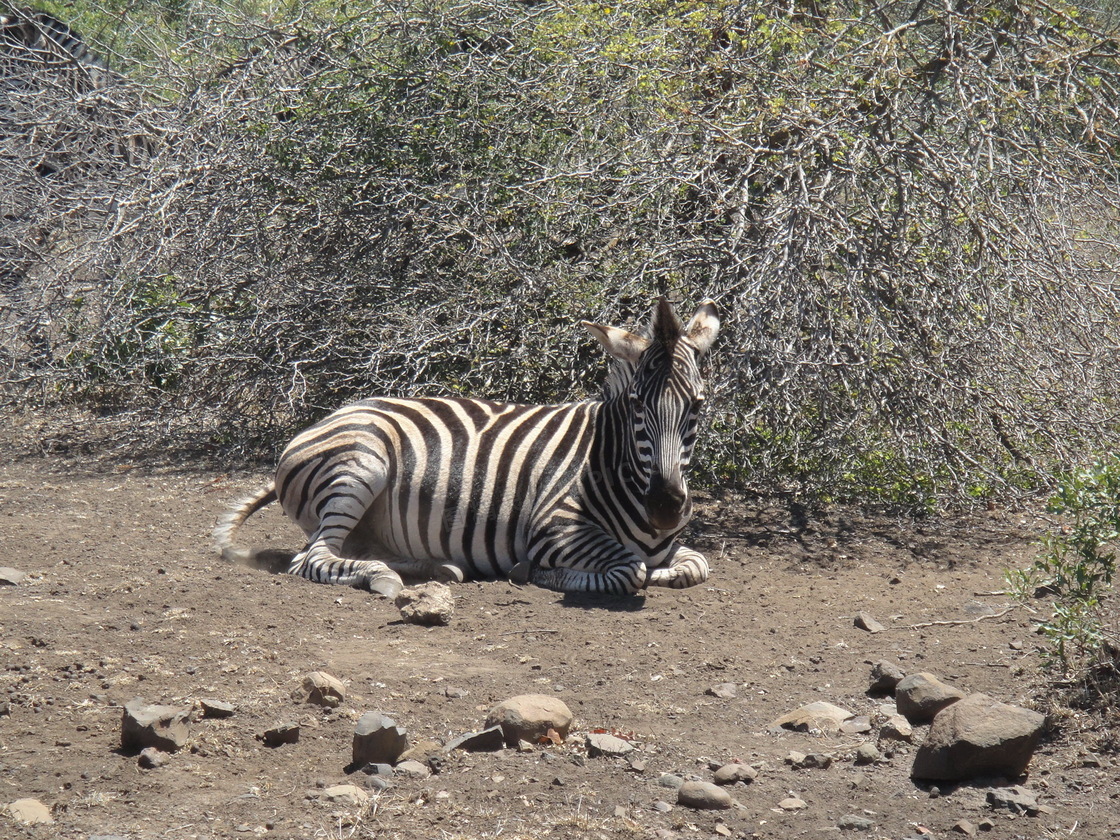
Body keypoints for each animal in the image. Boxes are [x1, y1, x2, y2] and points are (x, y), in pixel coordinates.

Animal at [217, 295, 721, 600]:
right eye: (637, 405)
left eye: (698, 405)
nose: (665, 508)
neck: (613, 462)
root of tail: (331, 416)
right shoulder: (552, 527)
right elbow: (627, 571)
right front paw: (536, 573)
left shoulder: (671, 546)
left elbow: (694, 565)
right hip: (361, 465)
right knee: (312, 558)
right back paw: (383, 577)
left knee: (349, 550)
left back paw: (437, 568)